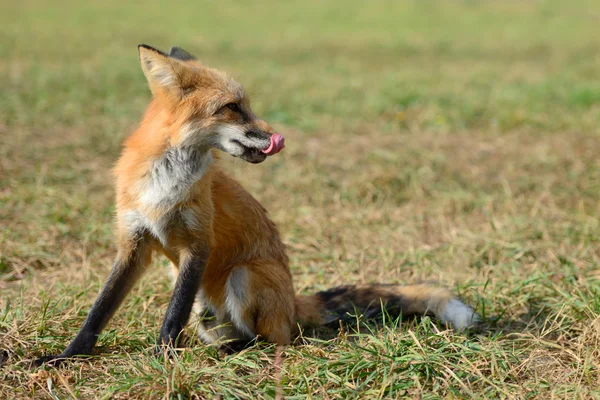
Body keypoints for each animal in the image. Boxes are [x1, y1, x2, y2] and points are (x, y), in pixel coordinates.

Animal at [36, 44, 478, 366]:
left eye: (246, 104)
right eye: (231, 107)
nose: (276, 137)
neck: (165, 180)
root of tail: (295, 301)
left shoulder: (197, 243)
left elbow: (171, 317)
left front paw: (163, 359)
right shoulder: (135, 242)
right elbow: (98, 312)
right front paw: (65, 357)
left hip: (244, 275)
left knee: (272, 340)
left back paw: (233, 351)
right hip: (204, 307)